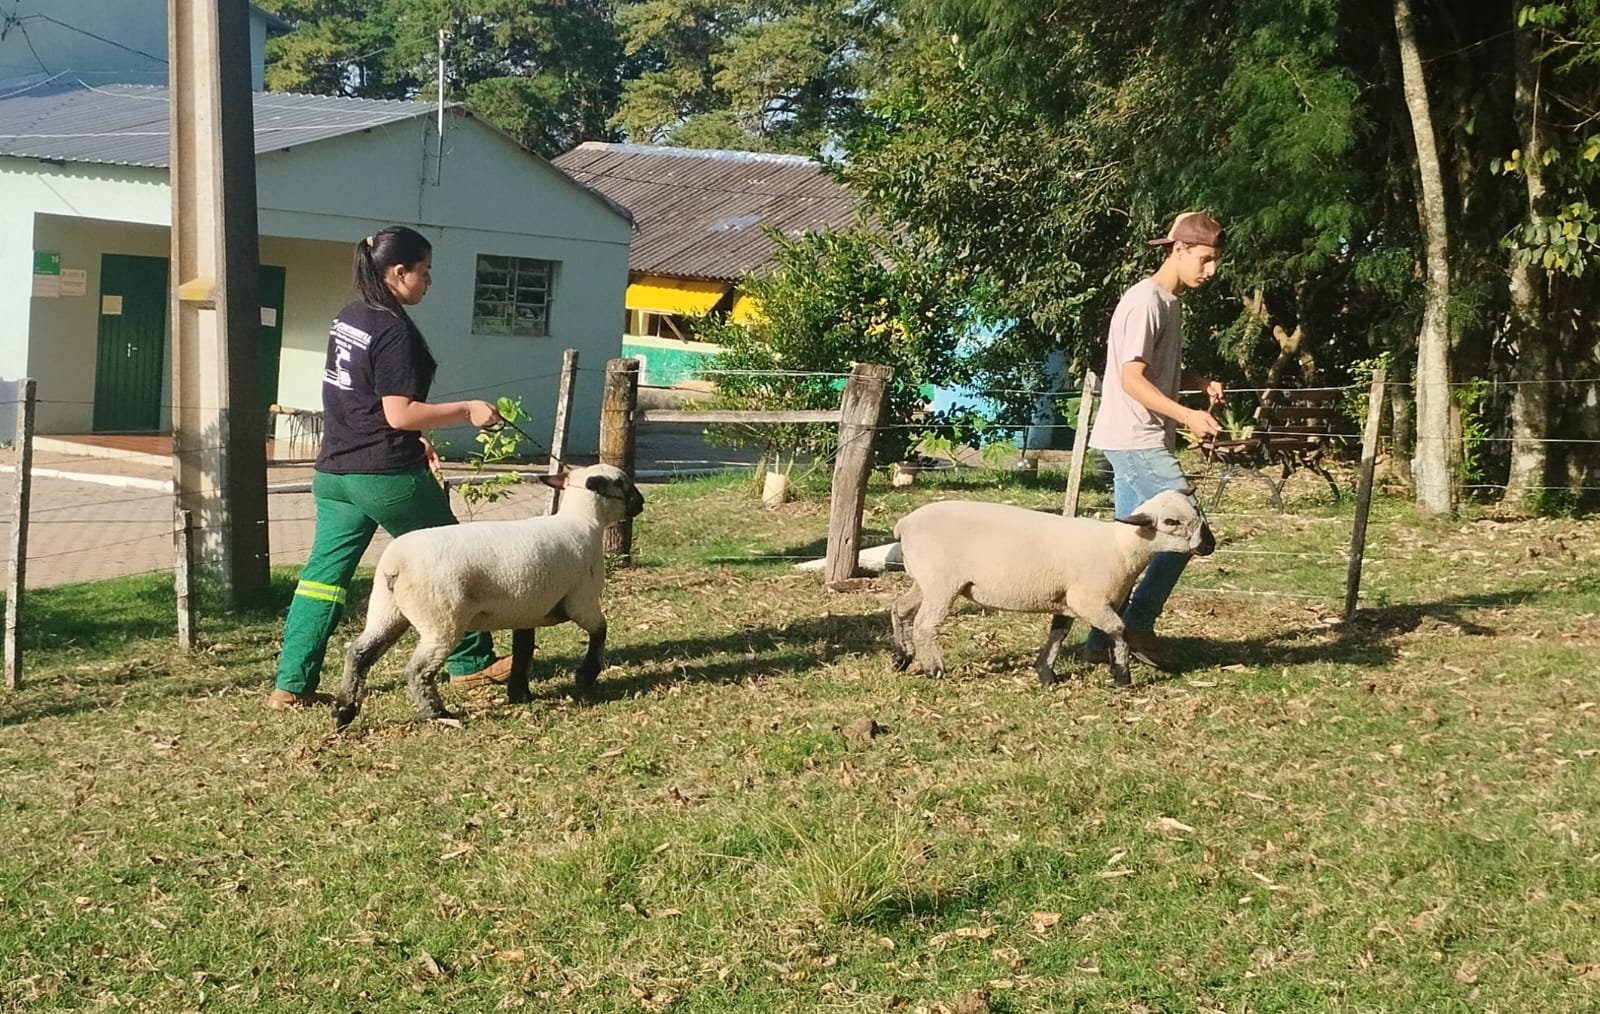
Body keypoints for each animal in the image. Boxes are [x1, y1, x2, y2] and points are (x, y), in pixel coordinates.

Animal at [332, 463, 645, 729]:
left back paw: (344, 711)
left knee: (359, 654)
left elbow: (523, 650)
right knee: (417, 671)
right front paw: (586, 675)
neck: (583, 522)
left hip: (387, 610)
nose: (641, 503)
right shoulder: (580, 601)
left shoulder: (527, 610)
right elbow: (600, 631)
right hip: (442, 620)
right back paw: (440, 715)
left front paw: (520, 694)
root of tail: (396, 563)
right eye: (622, 485)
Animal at [888, 488, 1215, 688]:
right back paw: (933, 668)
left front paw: (1045, 673)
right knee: (925, 624)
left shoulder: (1066, 600)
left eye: (1198, 510)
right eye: (1171, 522)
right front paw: (1122, 677)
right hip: (941, 582)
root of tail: (904, 524)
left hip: (925, 580)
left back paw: (901, 657)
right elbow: (1118, 631)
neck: (1121, 547)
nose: (1209, 545)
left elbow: (1058, 634)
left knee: (900, 608)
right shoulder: (1088, 600)